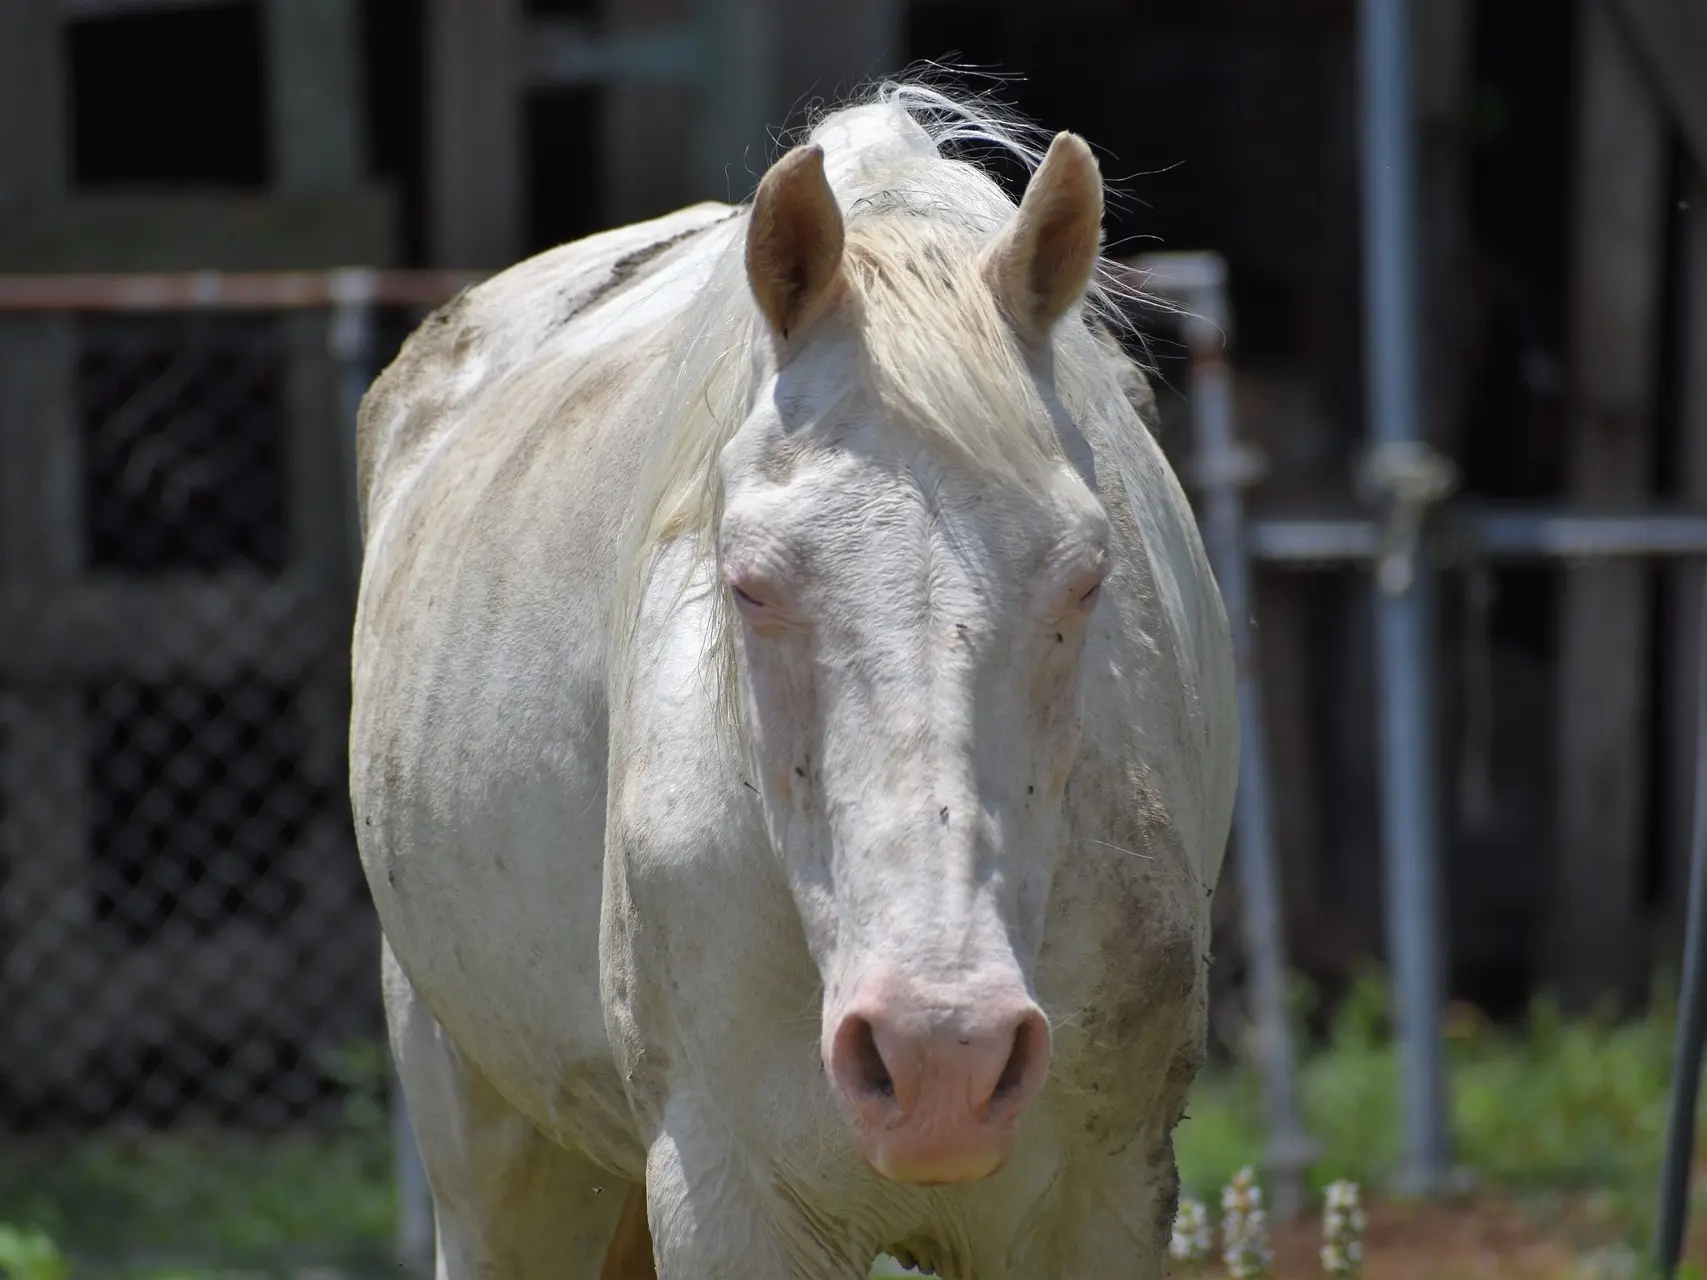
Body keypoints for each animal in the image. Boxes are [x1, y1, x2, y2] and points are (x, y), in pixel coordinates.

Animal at [349, 82, 1229, 1280]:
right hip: (488, 1147)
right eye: (750, 582)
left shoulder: (1098, 1207)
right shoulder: (730, 1202)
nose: (940, 1054)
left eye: (1088, 574)